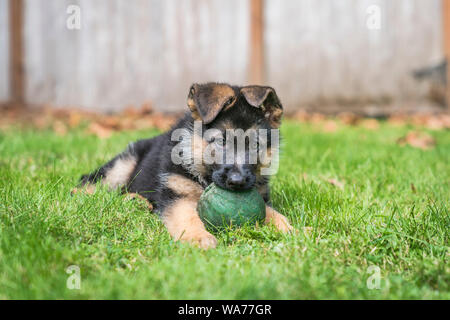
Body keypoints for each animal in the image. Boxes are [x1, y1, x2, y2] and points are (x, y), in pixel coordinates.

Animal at [77, 82, 292, 248]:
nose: (237, 182)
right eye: (221, 141)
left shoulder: (260, 195)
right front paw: (199, 237)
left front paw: (287, 228)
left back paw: (136, 200)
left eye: (256, 145)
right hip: (123, 164)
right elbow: (186, 217)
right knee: (91, 182)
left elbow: (270, 212)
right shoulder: (177, 194)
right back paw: (82, 196)